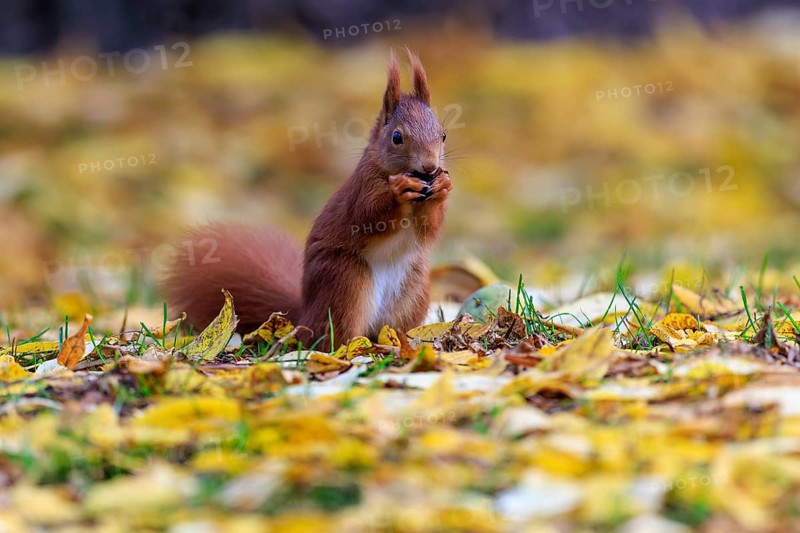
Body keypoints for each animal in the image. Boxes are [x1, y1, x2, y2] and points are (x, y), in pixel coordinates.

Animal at [163, 50, 451, 351]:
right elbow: (369, 216)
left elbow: (429, 228)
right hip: (346, 281)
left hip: (413, 289)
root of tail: (305, 316)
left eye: (443, 134)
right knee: (334, 333)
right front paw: (399, 189)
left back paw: (401, 343)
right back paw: (354, 347)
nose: (430, 167)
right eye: (397, 137)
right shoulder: (362, 188)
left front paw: (443, 187)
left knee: (393, 327)